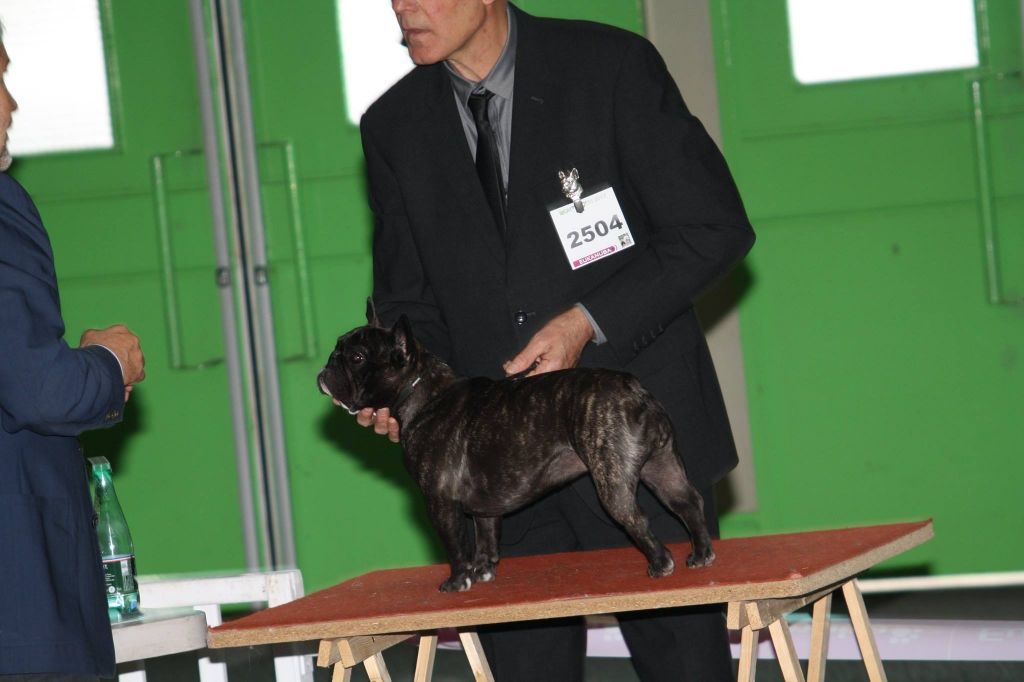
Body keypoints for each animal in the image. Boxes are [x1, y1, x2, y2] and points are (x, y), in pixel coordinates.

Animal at [318, 315, 715, 592]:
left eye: (356, 357)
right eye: (336, 350)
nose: (325, 368)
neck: (421, 390)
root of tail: (633, 389)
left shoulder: (440, 504)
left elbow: (456, 545)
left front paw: (457, 581)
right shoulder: (484, 508)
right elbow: (485, 538)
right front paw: (483, 572)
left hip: (612, 478)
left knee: (636, 518)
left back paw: (660, 565)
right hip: (662, 467)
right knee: (687, 502)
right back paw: (700, 555)